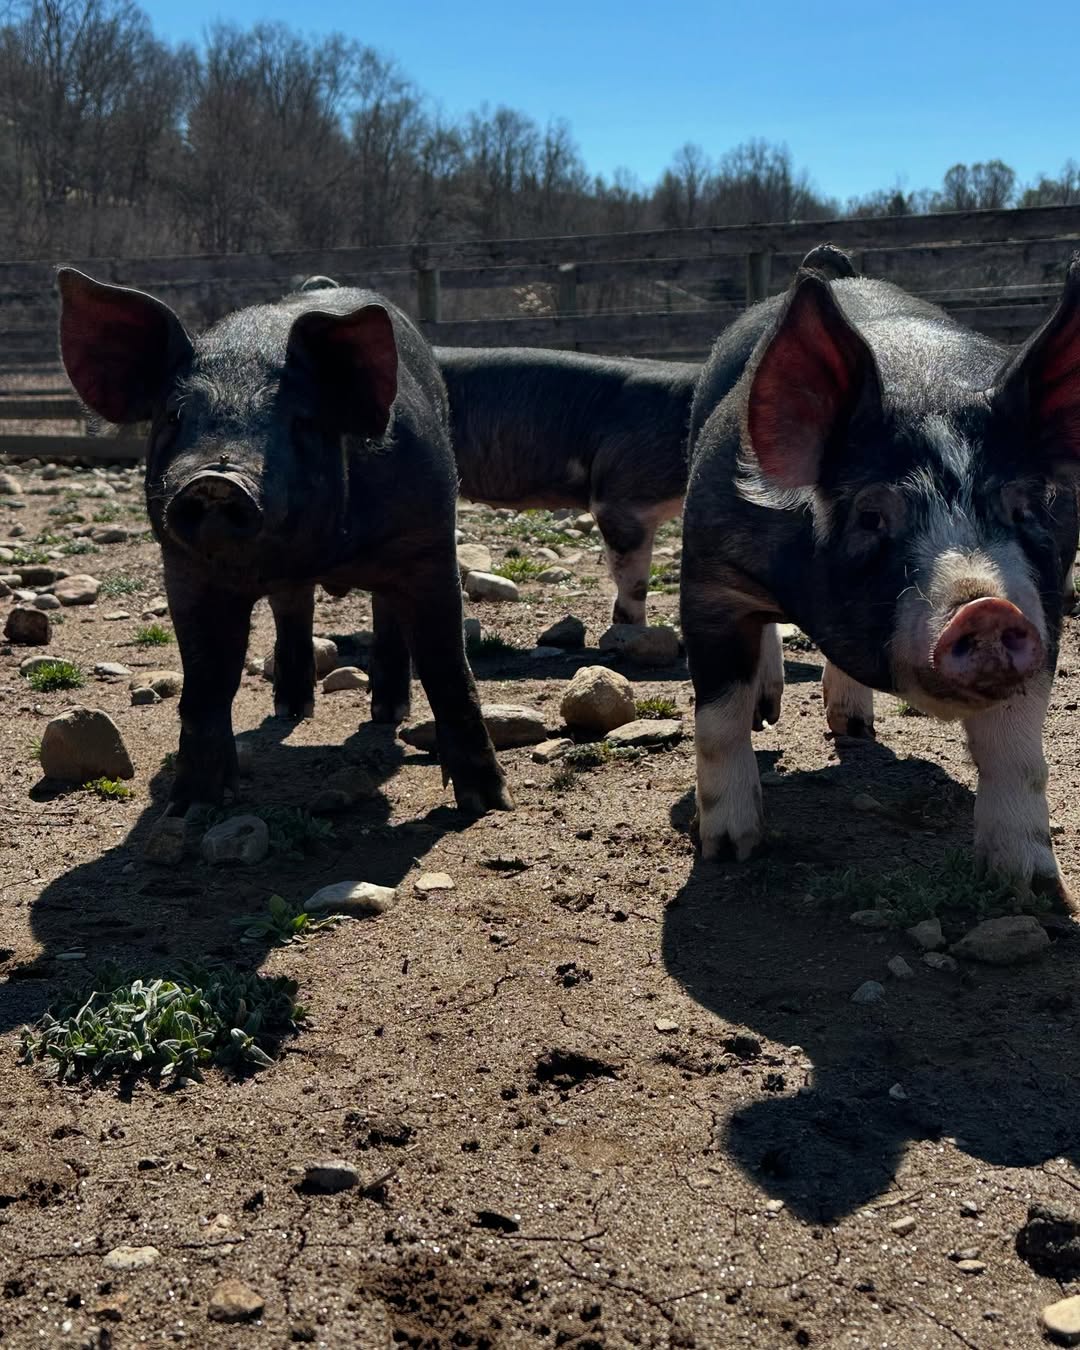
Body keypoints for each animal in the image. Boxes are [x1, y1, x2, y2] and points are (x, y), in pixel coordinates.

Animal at [57, 269, 512, 817]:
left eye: (300, 421)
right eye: (174, 416)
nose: (215, 479)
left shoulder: (428, 539)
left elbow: (448, 667)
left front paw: (488, 803)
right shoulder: (186, 570)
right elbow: (206, 684)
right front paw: (190, 806)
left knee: (383, 613)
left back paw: (388, 712)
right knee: (293, 611)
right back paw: (292, 708)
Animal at [682, 249, 1080, 904]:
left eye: (1025, 507)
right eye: (872, 515)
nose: (985, 607)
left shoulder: (1045, 613)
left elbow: (1017, 751)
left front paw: (1034, 888)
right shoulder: (709, 578)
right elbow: (720, 718)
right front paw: (730, 851)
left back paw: (856, 730)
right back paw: (773, 712)